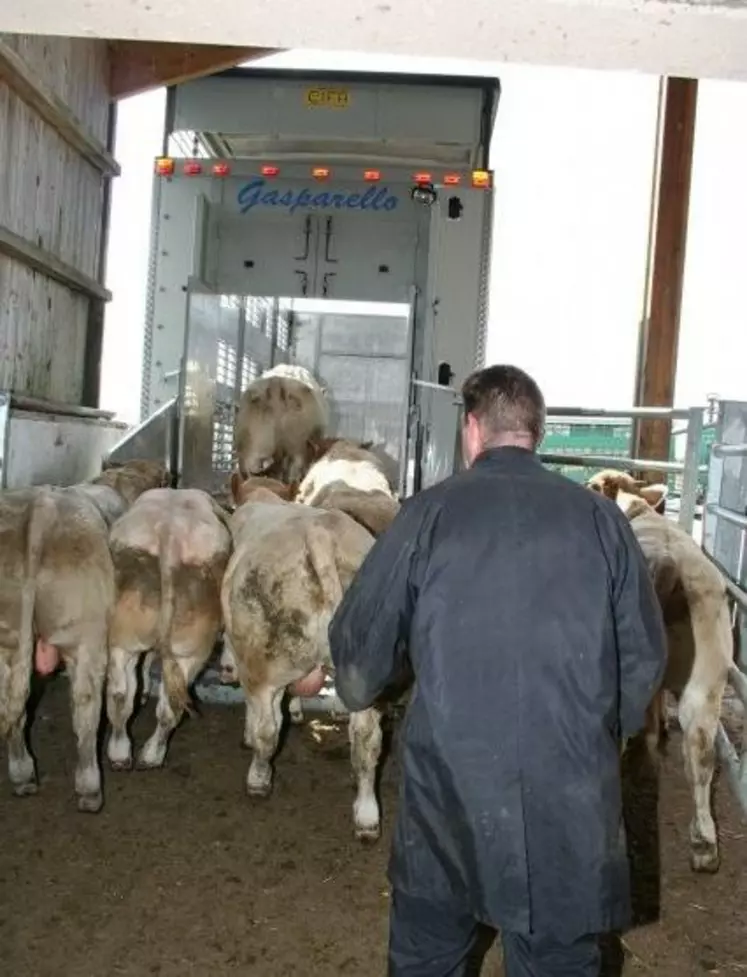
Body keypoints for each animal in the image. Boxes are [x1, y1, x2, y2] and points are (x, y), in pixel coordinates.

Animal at [0, 462, 168, 812]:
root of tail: (42, 509)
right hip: (85, 637)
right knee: (86, 707)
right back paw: (90, 788)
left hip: (7, 635)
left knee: (12, 704)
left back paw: (23, 775)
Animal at [106, 488, 231, 772]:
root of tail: (170, 534)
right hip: (190, 651)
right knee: (170, 705)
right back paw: (151, 756)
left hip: (125, 639)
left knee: (121, 694)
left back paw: (121, 754)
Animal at [222, 472, 386, 840]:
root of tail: (320, 534)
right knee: (368, 740)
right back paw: (367, 815)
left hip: (264, 660)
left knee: (268, 730)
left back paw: (258, 779)